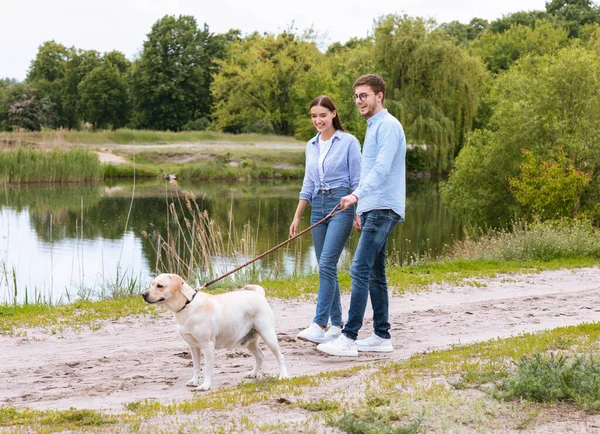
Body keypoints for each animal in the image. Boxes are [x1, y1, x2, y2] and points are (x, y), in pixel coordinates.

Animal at [143, 274, 288, 390]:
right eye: (152, 284)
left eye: (160, 286)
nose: (143, 294)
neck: (187, 305)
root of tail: (259, 294)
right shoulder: (193, 347)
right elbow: (196, 366)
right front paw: (194, 381)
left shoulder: (207, 346)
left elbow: (207, 368)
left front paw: (205, 386)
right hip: (249, 341)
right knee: (260, 356)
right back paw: (253, 374)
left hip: (268, 335)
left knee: (280, 356)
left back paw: (283, 376)